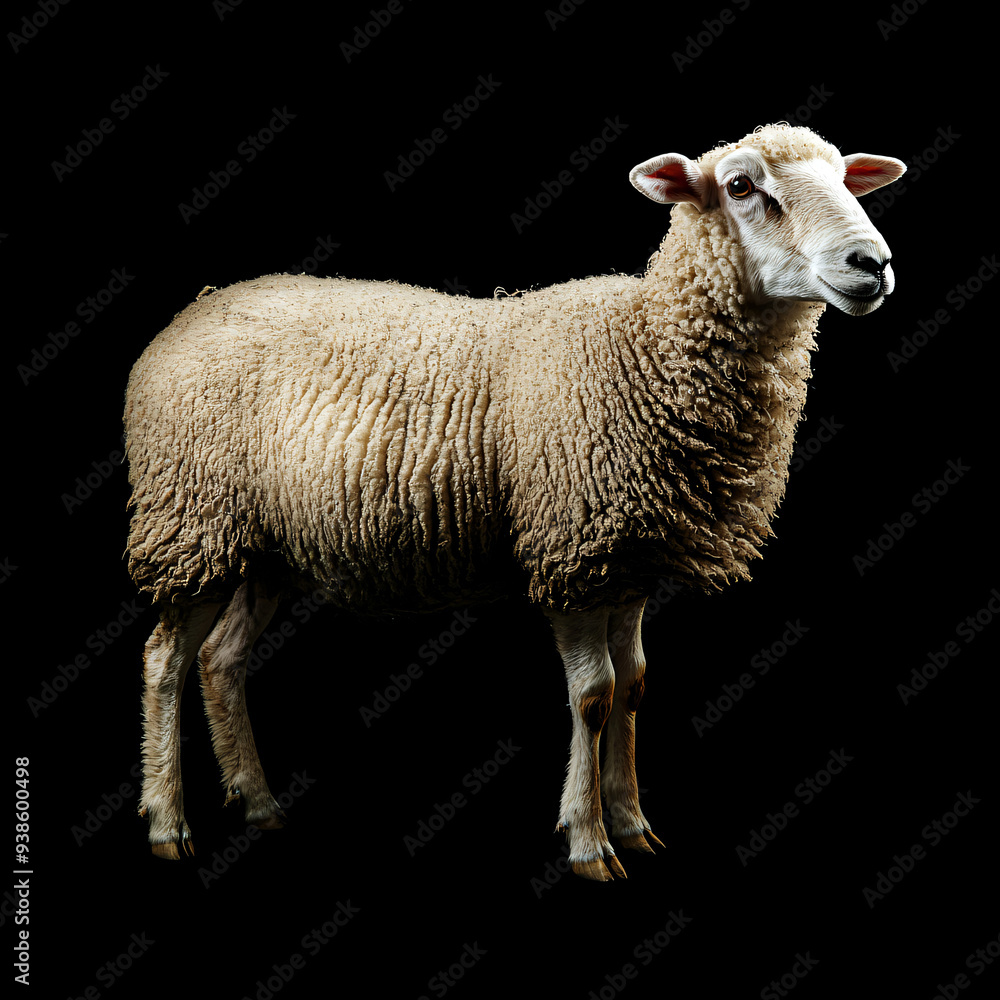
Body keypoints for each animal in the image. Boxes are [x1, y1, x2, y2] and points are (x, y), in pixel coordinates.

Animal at [125, 123, 905, 879]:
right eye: (741, 187)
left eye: (844, 177)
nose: (871, 262)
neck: (645, 348)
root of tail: (196, 308)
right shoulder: (573, 553)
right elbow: (593, 697)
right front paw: (589, 841)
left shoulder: (627, 561)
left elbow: (635, 686)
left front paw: (633, 823)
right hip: (190, 520)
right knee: (165, 659)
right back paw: (167, 824)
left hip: (262, 546)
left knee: (221, 659)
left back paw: (259, 804)